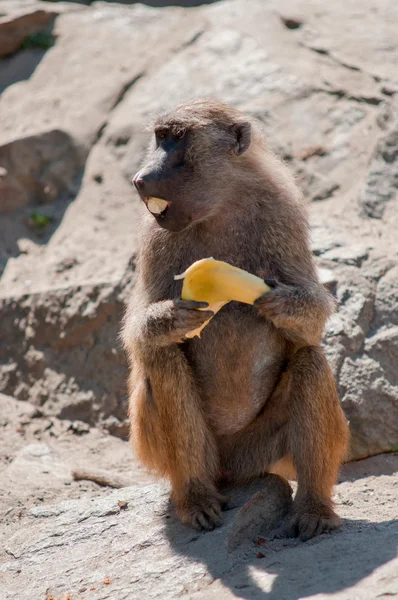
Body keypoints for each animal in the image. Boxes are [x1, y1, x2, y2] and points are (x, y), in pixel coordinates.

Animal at [121, 97, 348, 540]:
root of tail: (228, 467)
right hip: (167, 447)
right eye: (159, 137)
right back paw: (195, 497)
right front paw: (171, 317)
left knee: (311, 363)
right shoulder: (153, 237)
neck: (221, 206)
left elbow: (311, 325)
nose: (140, 179)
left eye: (177, 137)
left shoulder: (283, 213)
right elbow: (137, 333)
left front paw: (280, 303)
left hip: (256, 452)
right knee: (162, 358)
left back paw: (313, 508)